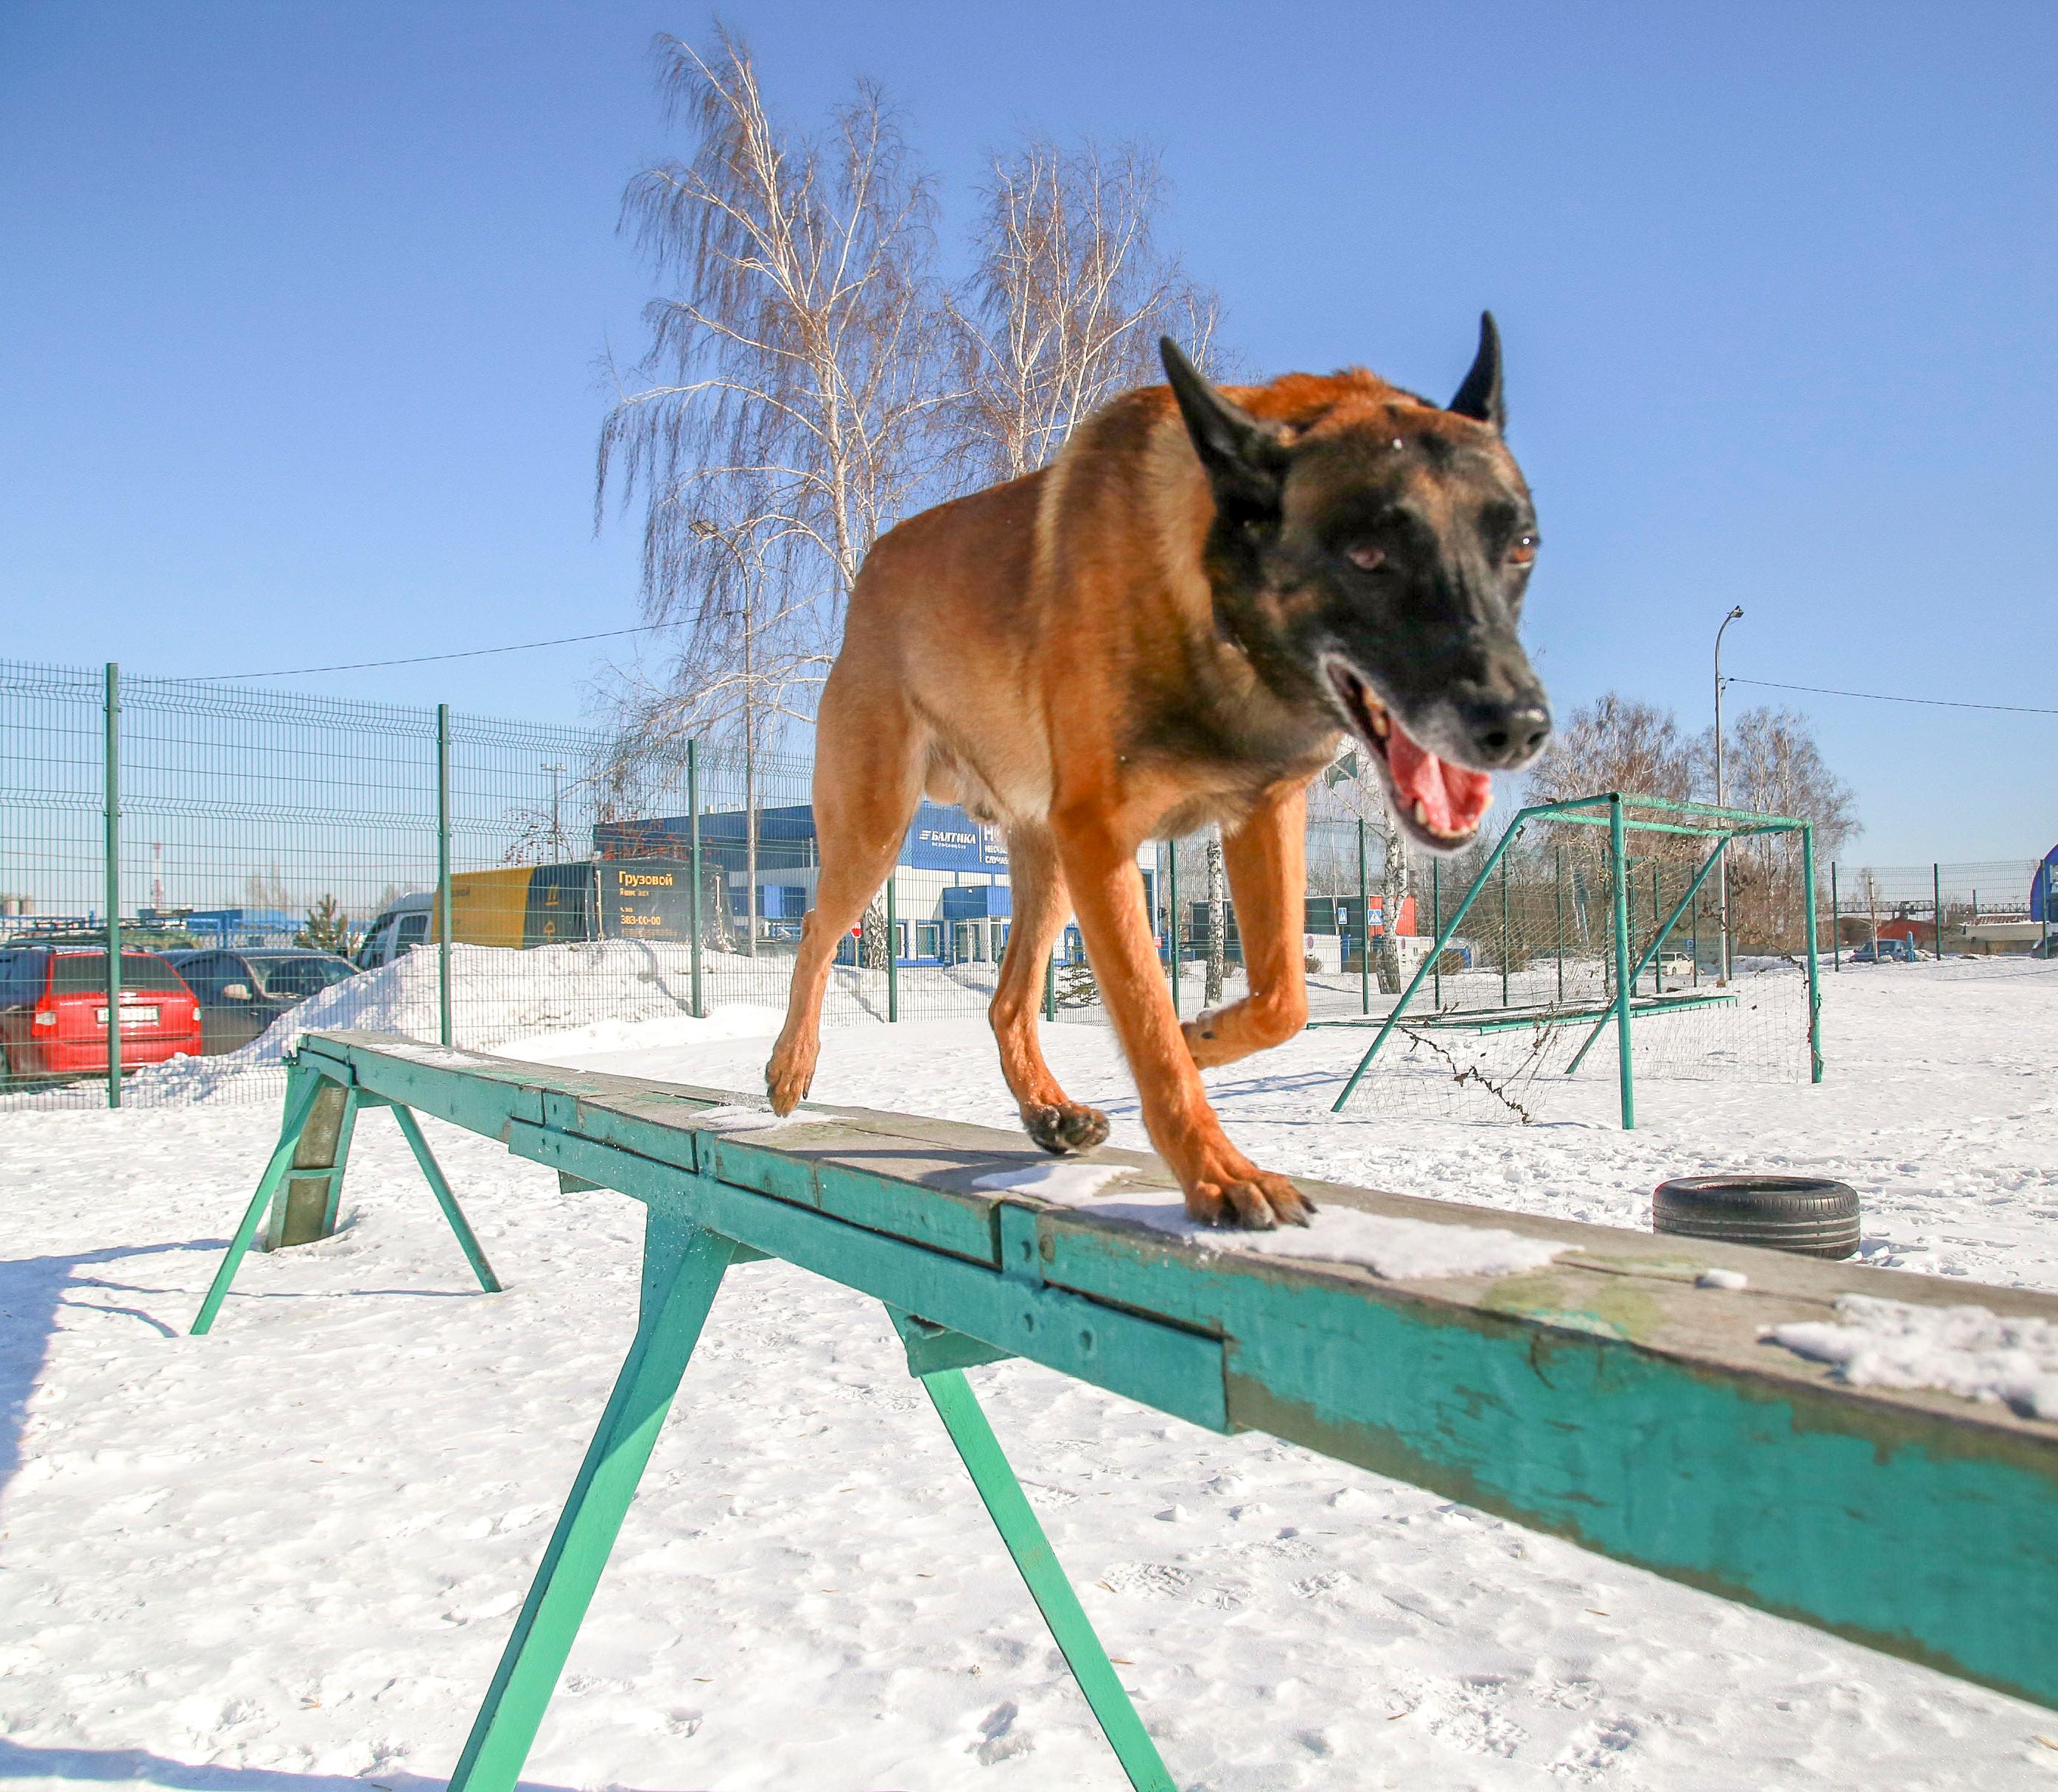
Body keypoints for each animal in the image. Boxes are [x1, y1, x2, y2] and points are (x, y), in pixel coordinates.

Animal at [769, 315, 1547, 1226]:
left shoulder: (1259, 814)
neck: (1205, 598)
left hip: (1046, 862)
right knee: (817, 929)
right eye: (1367, 553)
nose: (1520, 725)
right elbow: (1144, 1016)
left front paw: (1201, 1036)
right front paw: (1218, 1169)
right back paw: (790, 1065)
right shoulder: (1105, 840)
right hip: (880, 827)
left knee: (1006, 998)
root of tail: (871, 569)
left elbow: (1284, 997)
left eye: (1521, 546)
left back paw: (1047, 1111)